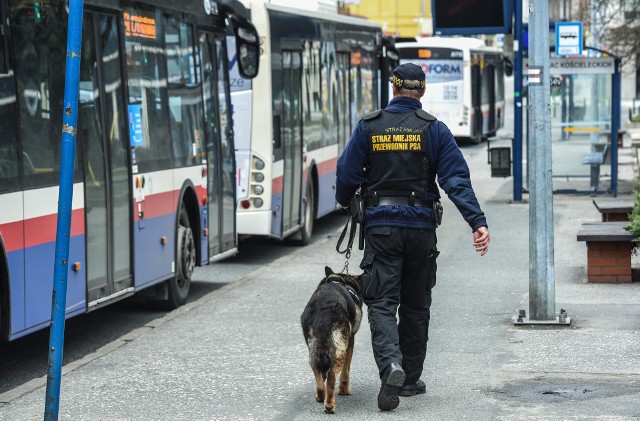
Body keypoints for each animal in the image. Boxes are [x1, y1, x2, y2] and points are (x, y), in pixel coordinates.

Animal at [298, 268, 360, 412]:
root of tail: (324, 308)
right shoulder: (350, 342)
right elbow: (346, 371)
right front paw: (344, 390)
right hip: (339, 351)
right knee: (332, 375)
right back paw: (330, 405)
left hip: (314, 350)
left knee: (318, 375)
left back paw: (321, 396)